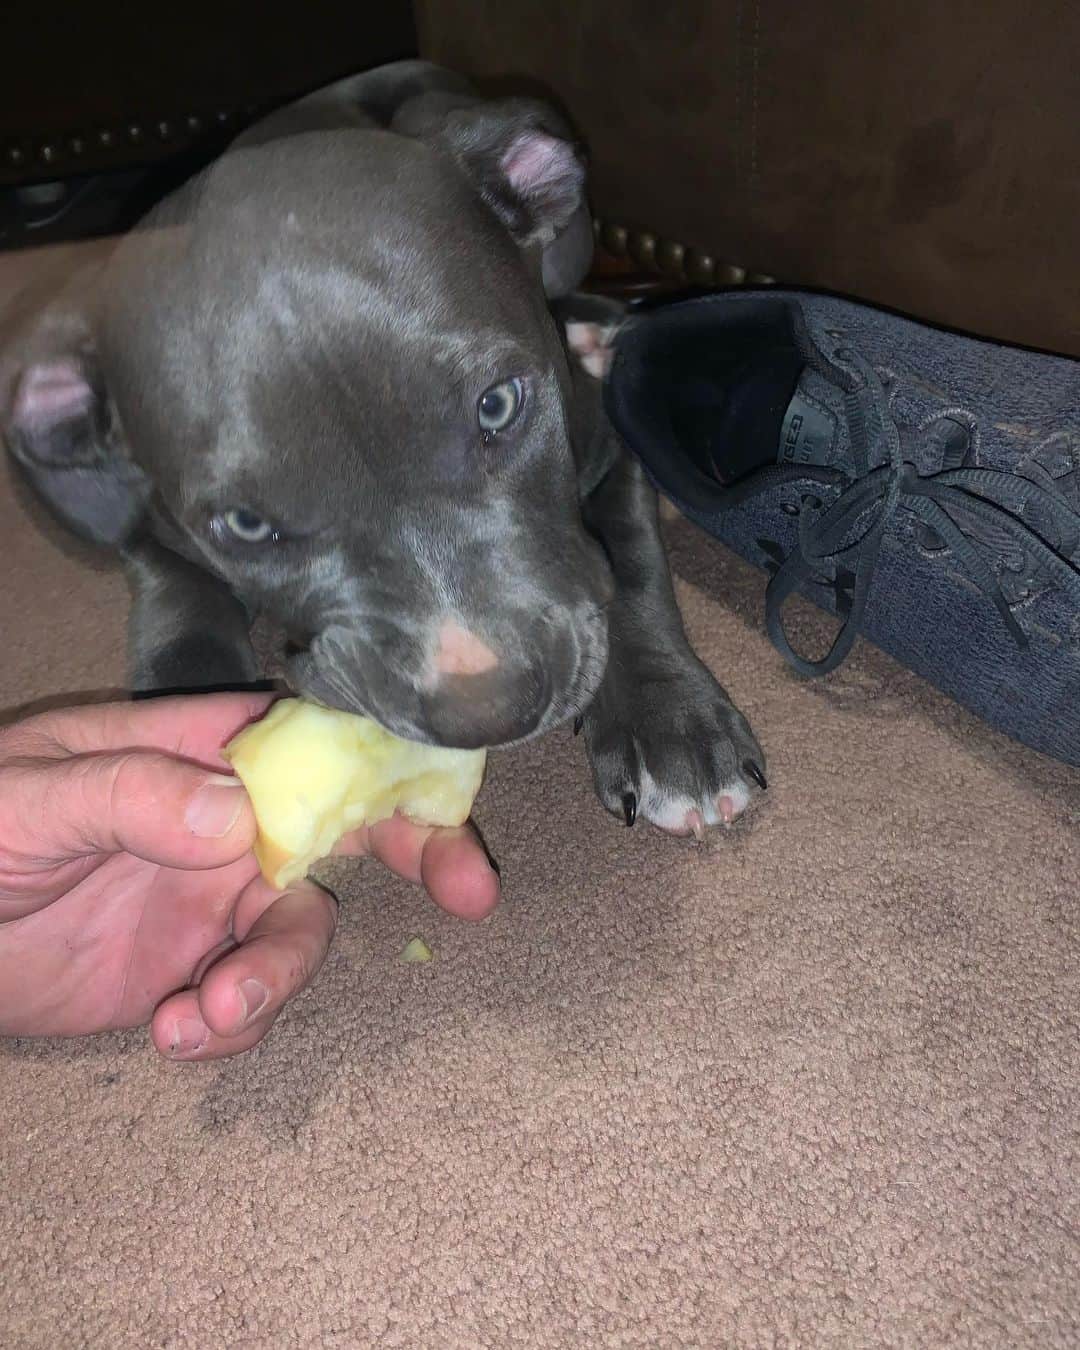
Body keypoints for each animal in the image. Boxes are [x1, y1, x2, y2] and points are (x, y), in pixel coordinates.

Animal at [2, 68, 761, 837]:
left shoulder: (611, 441)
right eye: (245, 526)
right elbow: (181, 611)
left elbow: (631, 559)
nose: (490, 713)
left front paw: (671, 724)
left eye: (498, 405)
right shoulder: (147, 527)